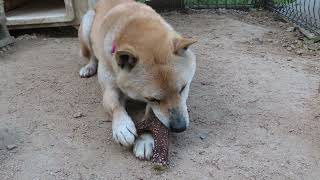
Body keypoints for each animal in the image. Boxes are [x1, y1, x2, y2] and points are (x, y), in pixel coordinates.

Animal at [79, 0, 196, 160]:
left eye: (183, 88)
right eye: (153, 99)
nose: (180, 127)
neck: (134, 25)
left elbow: (150, 117)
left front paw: (145, 140)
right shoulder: (110, 89)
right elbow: (115, 105)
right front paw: (122, 127)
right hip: (86, 25)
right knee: (91, 54)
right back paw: (89, 67)